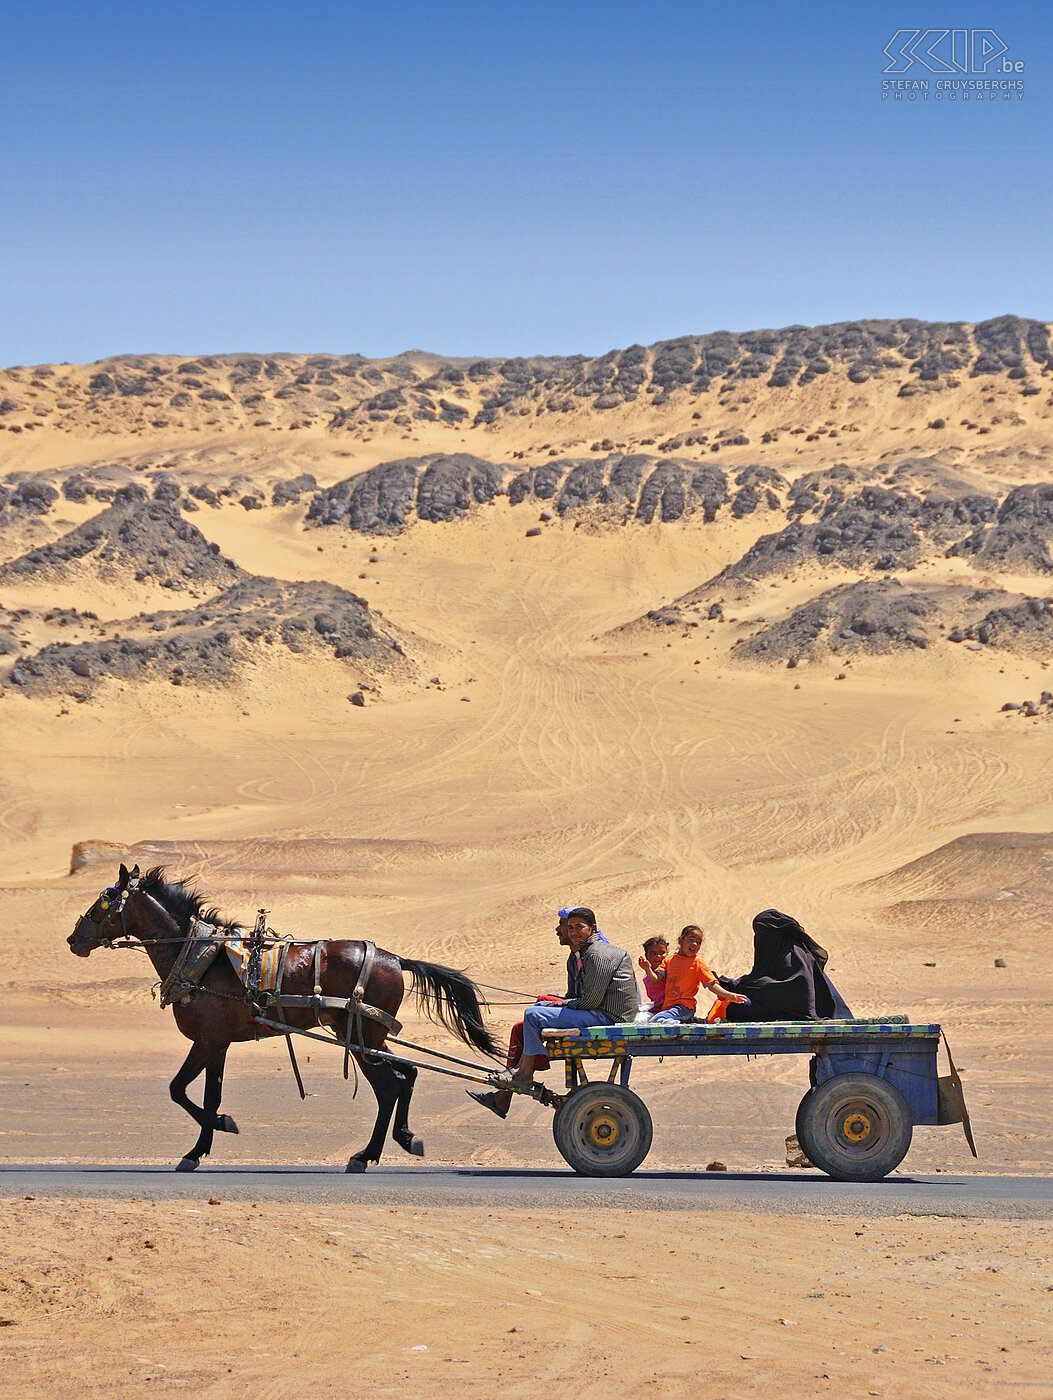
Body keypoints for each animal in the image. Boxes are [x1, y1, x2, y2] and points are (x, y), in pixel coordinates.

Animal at [67, 862, 498, 1170]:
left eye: (103, 902)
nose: (74, 940)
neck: (198, 957)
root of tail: (395, 959)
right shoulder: (218, 1044)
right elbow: (209, 1095)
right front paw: (198, 1149)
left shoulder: (206, 1041)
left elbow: (178, 1089)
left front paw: (221, 1125)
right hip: (372, 1037)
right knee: (406, 1076)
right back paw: (405, 1138)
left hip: (358, 1035)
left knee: (389, 1086)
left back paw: (365, 1155)